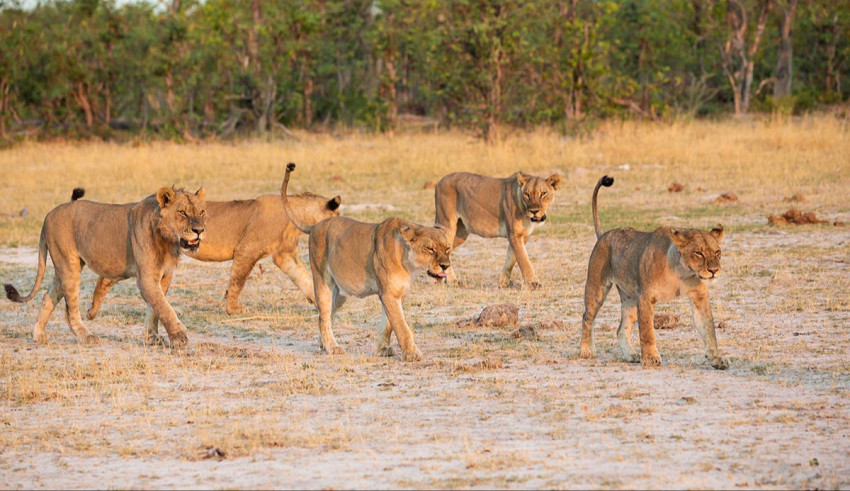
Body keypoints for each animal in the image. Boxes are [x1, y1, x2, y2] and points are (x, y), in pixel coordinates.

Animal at [4, 186, 207, 347]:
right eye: (182, 212)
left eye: (202, 212)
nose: (200, 230)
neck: (167, 240)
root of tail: (48, 215)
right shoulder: (147, 277)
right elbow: (164, 307)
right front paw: (179, 337)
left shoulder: (164, 276)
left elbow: (154, 308)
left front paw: (152, 338)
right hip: (69, 266)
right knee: (70, 309)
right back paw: (87, 337)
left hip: (63, 267)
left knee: (48, 297)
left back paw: (38, 335)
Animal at [85, 189, 341, 317]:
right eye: (339, 217)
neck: (296, 215)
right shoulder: (247, 249)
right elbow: (237, 281)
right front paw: (234, 309)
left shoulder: (283, 255)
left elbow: (303, 278)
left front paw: (321, 303)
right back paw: (92, 311)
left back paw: (92, 311)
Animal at [282, 163, 451, 361]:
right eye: (430, 249)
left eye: (447, 249)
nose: (446, 265)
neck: (408, 264)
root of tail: (316, 225)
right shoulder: (388, 293)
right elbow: (401, 325)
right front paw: (411, 353)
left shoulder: (397, 294)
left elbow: (388, 324)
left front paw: (383, 349)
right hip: (322, 282)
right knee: (323, 315)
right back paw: (333, 347)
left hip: (339, 294)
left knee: (324, 317)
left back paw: (323, 344)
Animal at [579, 175, 729, 369]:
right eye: (699, 253)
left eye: (717, 252)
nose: (714, 270)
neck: (683, 273)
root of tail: (604, 234)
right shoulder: (645, 297)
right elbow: (647, 331)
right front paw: (650, 357)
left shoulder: (699, 297)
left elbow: (709, 329)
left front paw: (717, 358)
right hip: (597, 288)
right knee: (587, 318)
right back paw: (587, 351)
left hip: (630, 298)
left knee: (621, 329)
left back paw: (630, 355)